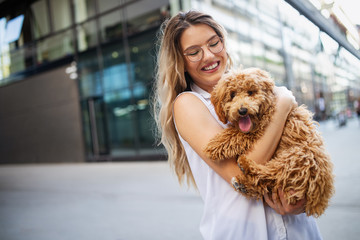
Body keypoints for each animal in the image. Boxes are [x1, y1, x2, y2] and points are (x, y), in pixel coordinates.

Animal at [205, 66, 334, 217]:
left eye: (251, 92)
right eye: (232, 95)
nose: (242, 110)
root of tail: (320, 195)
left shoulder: (260, 128)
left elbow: (236, 134)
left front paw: (214, 146)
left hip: (299, 156)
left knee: (271, 174)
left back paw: (245, 165)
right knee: (267, 184)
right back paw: (243, 185)